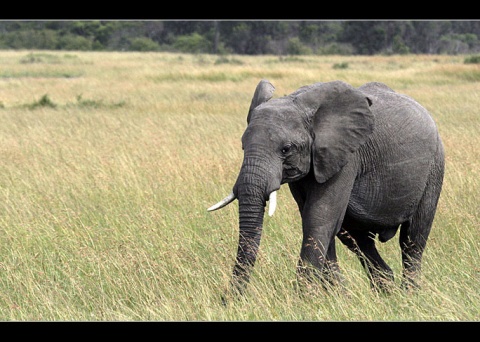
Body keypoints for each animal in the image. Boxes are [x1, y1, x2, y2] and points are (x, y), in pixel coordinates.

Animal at [208, 79, 444, 298]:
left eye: (286, 149)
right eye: (242, 146)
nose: (227, 301)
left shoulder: (346, 156)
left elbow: (319, 217)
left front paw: (302, 301)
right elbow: (318, 221)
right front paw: (337, 298)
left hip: (435, 166)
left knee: (413, 237)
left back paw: (409, 295)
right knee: (358, 240)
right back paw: (386, 293)